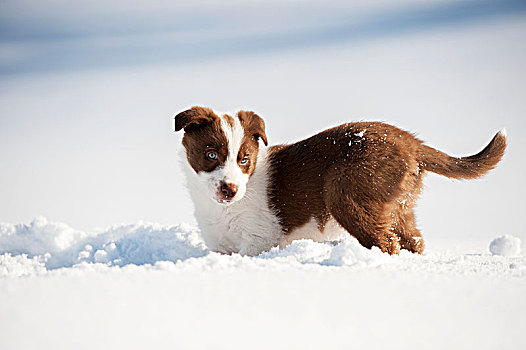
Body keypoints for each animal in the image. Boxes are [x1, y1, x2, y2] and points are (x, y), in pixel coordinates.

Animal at [175, 105, 510, 256]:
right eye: (211, 155)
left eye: (244, 159)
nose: (229, 190)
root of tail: (413, 144)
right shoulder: (220, 245)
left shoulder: (259, 240)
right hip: (399, 204)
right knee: (413, 240)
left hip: (346, 189)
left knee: (386, 242)